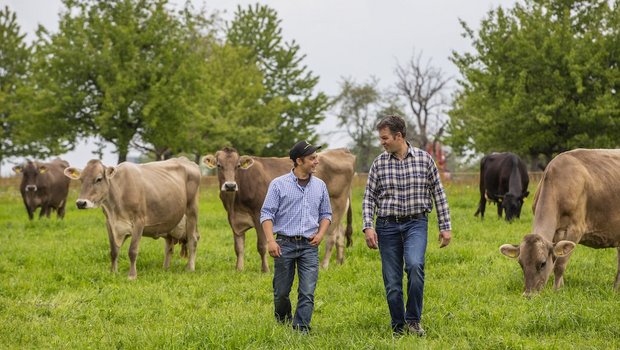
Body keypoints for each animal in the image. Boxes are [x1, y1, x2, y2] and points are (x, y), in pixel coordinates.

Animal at [63, 157, 200, 280]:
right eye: (81, 179)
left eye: (98, 179)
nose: (81, 203)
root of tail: (187, 161)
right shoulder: (110, 223)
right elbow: (113, 251)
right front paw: (113, 272)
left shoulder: (139, 221)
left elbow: (132, 251)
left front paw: (132, 276)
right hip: (170, 222)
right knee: (169, 246)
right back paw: (165, 268)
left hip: (192, 210)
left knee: (192, 239)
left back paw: (190, 268)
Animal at [201, 146, 352, 272]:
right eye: (219, 165)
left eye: (237, 166)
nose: (230, 185)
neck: (234, 203)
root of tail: (340, 150)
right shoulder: (234, 220)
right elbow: (238, 247)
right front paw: (239, 269)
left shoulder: (259, 215)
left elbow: (262, 245)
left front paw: (265, 270)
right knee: (340, 234)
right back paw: (340, 262)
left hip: (336, 204)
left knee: (331, 237)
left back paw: (324, 265)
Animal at [498, 148, 620, 296]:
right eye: (521, 263)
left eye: (542, 263)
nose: (528, 294)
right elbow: (556, 259)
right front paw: (561, 287)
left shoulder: (575, 229)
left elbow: (560, 264)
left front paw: (556, 291)